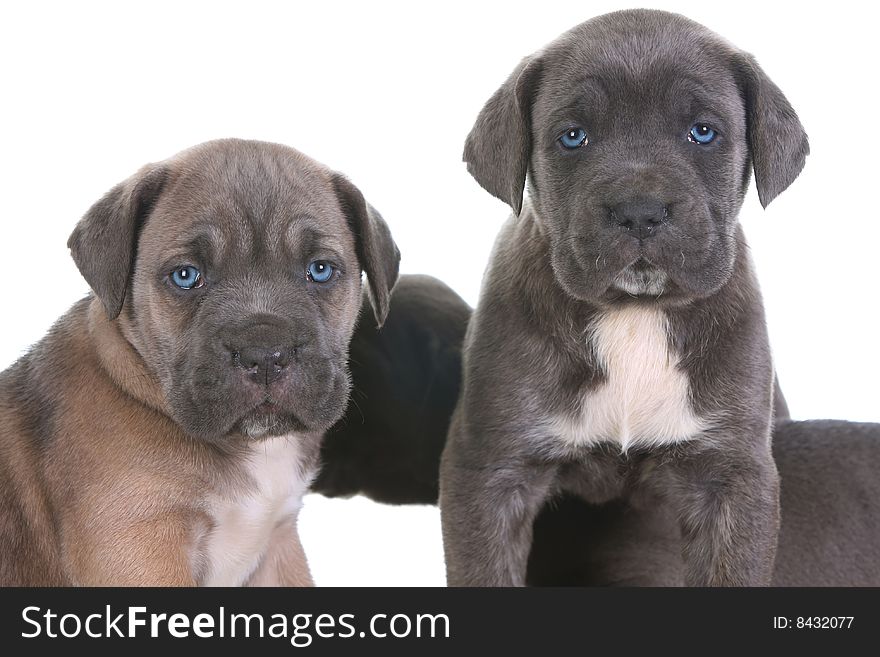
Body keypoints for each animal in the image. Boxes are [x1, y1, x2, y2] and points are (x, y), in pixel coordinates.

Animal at [444, 9, 808, 584]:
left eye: (703, 132)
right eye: (573, 137)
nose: (640, 210)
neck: (635, 315)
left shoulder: (731, 478)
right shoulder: (491, 471)